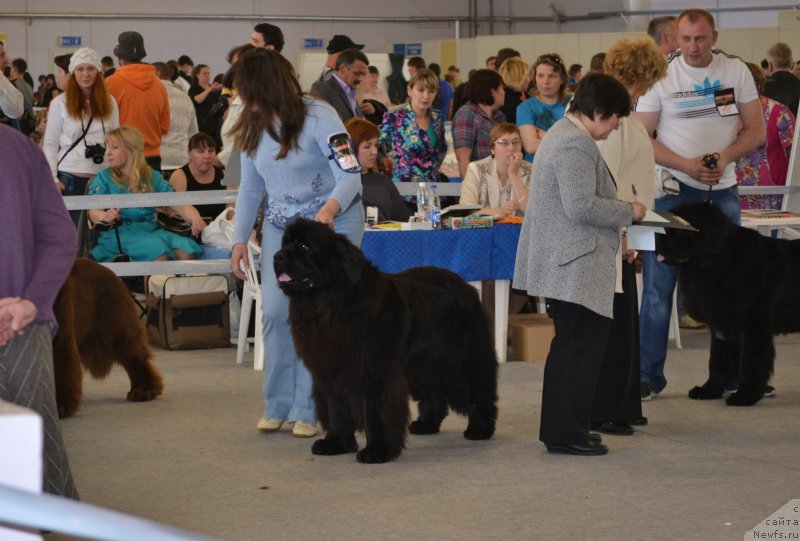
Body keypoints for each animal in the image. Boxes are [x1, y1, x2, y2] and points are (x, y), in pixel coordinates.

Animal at [52, 258, 163, 418]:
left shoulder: (61, 338)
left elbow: (61, 370)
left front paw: (60, 406)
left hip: (117, 329)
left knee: (135, 358)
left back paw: (144, 390)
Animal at [276, 217, 500, 462]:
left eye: (304, 246)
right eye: (284, 244)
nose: (277, 256)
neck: (330, 303)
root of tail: (467, 286)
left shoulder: (375, 372)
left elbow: (375, 413)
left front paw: (376, 451)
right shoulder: (330, 371)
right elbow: (336, 410)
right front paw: (336, 443)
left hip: (455, 361)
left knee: (476, 390)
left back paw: (480, 429)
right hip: (421, 365)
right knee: (433, 392)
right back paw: (426, 424)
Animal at [656, 202, 800, 404]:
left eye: (678, 228)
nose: (655, 236)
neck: (719, 262)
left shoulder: (753, 326)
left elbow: (750, 362)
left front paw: (745, 396)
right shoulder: (721, 323)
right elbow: (717, 360)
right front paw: (708, 390)